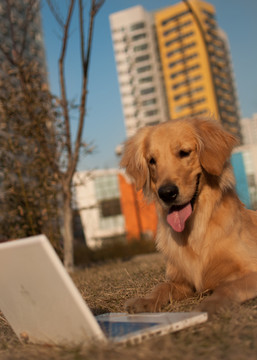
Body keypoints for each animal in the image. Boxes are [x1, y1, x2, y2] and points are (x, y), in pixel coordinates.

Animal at [119, 117, 256, 316]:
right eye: (152, 161)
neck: (194, 231)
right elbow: (162, 286)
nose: (166, 193)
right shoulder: (182, 281)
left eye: (184, 153)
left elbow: (228, 286)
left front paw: (212, 304)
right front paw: (145, 301)